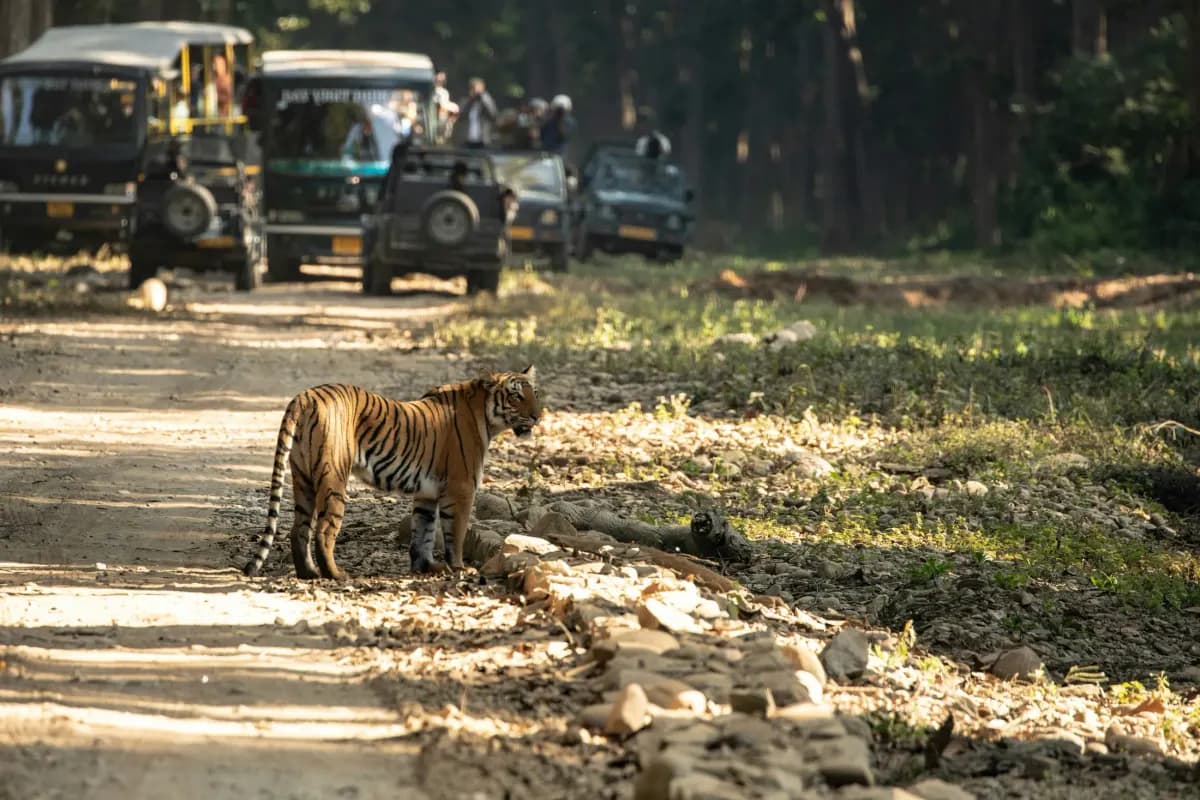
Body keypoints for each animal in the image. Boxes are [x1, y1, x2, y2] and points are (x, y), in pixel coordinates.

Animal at [242, 367, 541, 580]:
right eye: (515, 396)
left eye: (534, 394)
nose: (538, 416)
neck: (486, 417)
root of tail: (305, 396)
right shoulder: (461, 488)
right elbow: (455, 533)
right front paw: (458, 568)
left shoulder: (427, 493)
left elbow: (424, 531)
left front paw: (426, 567)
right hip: (333, 477)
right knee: (324, 531)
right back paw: (336, 575)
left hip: (302, 477)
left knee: (299, 529)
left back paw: (309, 574)